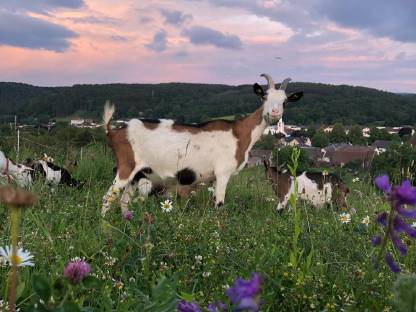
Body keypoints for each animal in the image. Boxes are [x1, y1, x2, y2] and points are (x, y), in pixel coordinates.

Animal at [101, 73, 302, 216]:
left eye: (285, 101)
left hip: (138, 174)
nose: (274, 113)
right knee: (107, 198)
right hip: (126, 167)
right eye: (264, 97)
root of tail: (115, 131)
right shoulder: (222, 173)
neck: (239, 133)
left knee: (124, 201)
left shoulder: (213, 178)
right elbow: (219, 206)